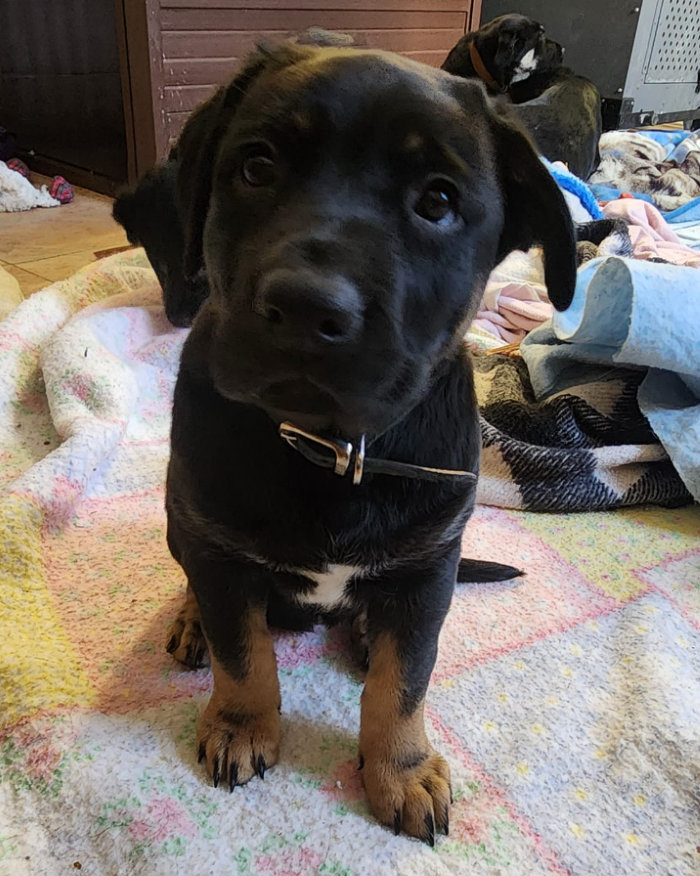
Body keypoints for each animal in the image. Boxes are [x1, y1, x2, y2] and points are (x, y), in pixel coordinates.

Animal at [161, 42, 576, 843]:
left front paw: (401, 770)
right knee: (197, 583)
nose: (304, 307)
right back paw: (192, 618)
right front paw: (241, 725)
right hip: (178, 519)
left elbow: (404, 679)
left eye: (438, 202)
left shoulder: (428, 568)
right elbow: (242, 650)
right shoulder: (218, 545)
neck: (333, 446)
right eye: (256, 166)